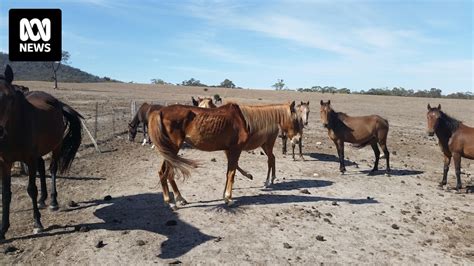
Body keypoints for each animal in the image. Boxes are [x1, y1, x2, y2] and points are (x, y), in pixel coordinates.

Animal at [0, 65, 83, 240]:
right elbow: (6, 194)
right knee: (42, 168)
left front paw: (37, 224)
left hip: (56, 146)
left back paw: (52, 202)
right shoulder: (5, 163)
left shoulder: (29, 159)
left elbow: (31, 189)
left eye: (10, 98)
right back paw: (42, 199)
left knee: (52, 169)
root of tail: (57, 103)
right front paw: (2, 230)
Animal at [148, 101, 300, 207]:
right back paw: (173, 201)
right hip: (172, 149)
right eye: (296, 120)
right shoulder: (235, 150)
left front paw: (225, 196)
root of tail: (159, 111)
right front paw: (228, 198)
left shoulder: (230, 150)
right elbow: (232, 174)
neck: (244, 120)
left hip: (169, 151)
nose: (297, 140)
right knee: (167, 173)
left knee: (164, 173)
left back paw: (177, 199)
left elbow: (229, 173)